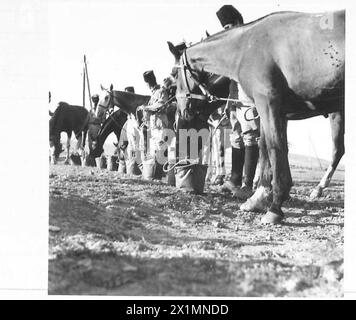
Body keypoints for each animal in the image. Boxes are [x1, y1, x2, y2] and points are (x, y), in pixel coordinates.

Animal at [168, 10, 344, 225]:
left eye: (174, 74)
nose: (181, 113)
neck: (245, 48)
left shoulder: (267, 105)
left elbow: (274, 148)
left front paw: (275, 206)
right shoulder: (274, 113)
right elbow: (266, 148)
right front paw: (259, 197)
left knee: (337, 150)